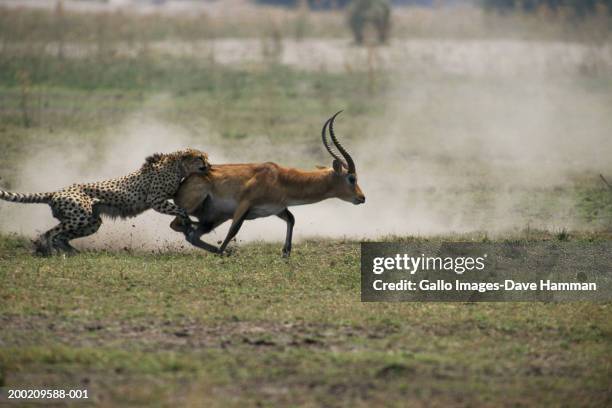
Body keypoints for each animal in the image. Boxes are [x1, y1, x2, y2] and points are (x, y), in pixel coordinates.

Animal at [0, 147, 209, 255]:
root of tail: (56, 192)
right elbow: (180, 209)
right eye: (200, 157)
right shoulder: (156, 200)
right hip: (80, 217)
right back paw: (49, 251)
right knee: (50, 233)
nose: (209, 164)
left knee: (62, 236)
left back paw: (72, 252)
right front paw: (188, 220)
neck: (177, 165)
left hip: (91, 221)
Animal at [170, 111, 366, 258]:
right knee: (179, 225)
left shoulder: (277, 209)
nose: (362, 197)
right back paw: (220, 249)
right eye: (352, 178)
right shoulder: (244, 205)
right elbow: (234, 230)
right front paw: (222, 252)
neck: (280, 178)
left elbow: (292, 219)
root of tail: (183, 182)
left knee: (192, 235)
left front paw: (286, 253)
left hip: (216, 217)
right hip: (197, 207)